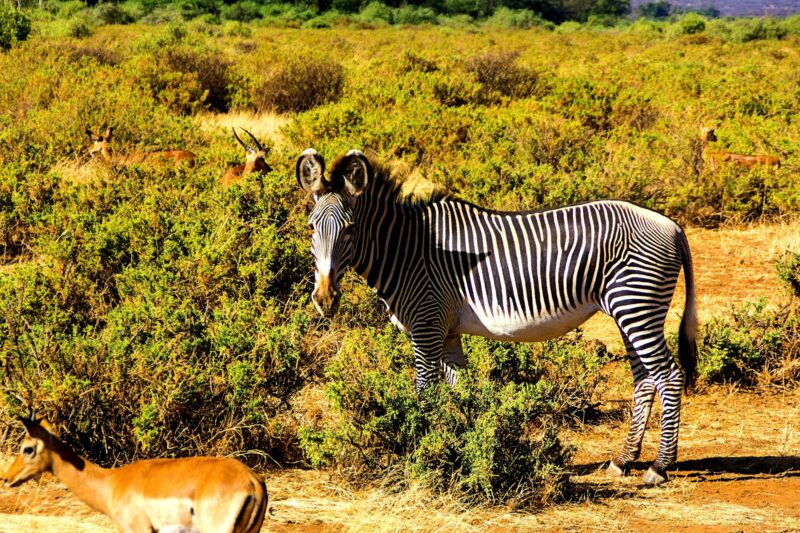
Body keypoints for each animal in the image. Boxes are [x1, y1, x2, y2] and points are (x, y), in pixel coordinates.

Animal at [296, 148, 696, 484]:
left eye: (350, 229)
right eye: (312, 227)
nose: (325, 299)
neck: (407, 250)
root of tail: (670, 224)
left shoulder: (426, 325)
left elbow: (425, 395)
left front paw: (422, 456)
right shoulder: (447, 332)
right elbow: (461, 392)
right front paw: (463, 449)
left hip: (637, 306)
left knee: (668, 376)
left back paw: (660, 466)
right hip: (629, 310)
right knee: (644, 380)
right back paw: (624, 459)